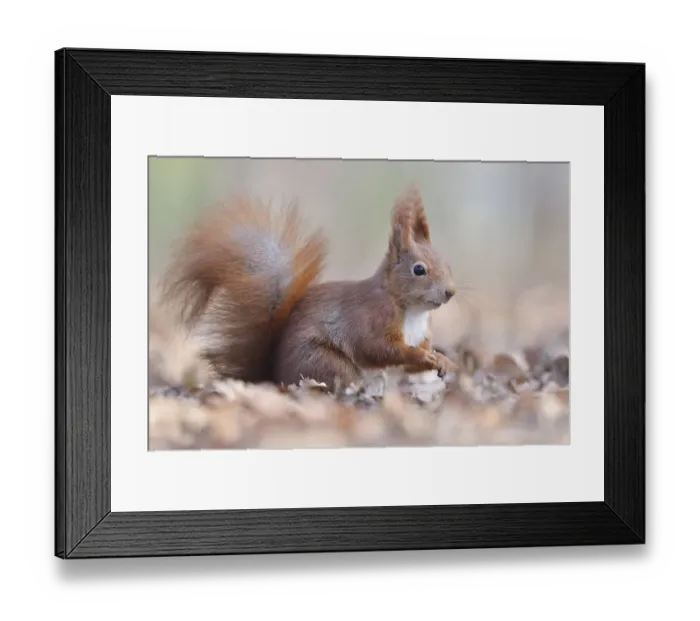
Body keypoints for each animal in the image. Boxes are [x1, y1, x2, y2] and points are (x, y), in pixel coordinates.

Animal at [159, 186, 458, 389]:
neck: (412, 311)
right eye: (418, 269)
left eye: (447, 263)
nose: (450, 292)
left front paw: (441, 359)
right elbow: (376, 348)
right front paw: (423, 356)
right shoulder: (371, 318)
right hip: (324, 362)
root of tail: (275, 378)